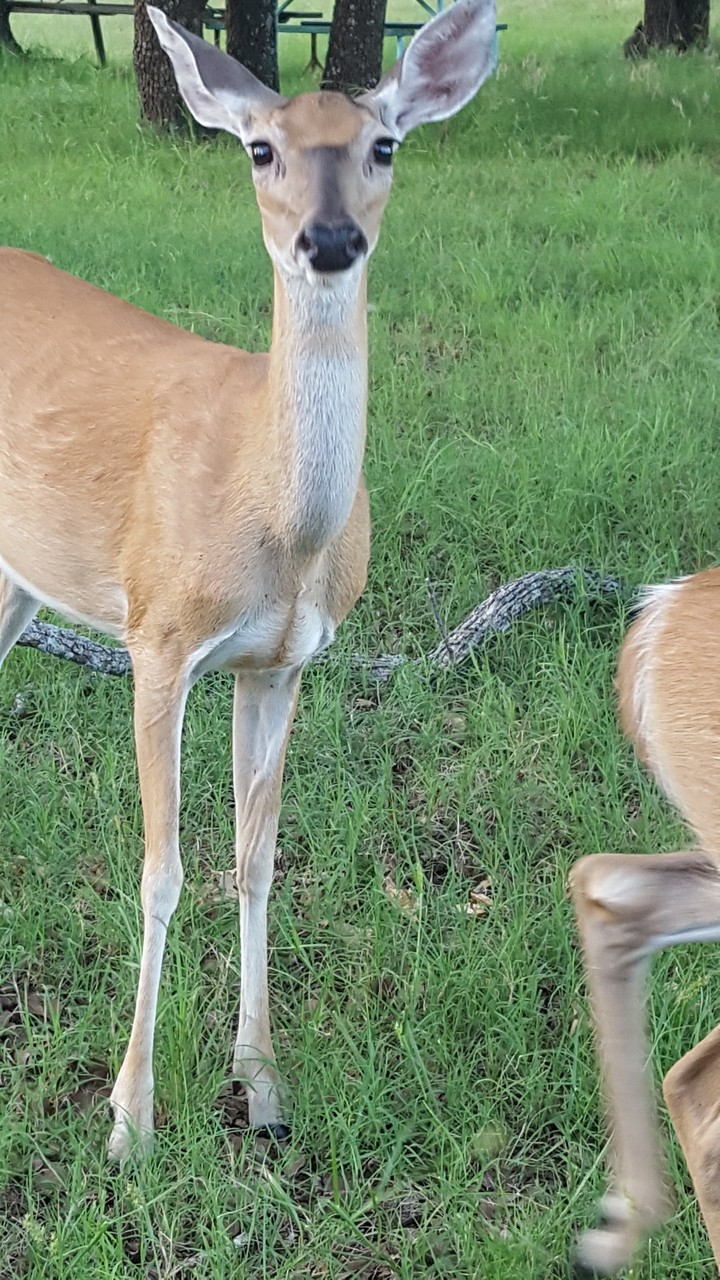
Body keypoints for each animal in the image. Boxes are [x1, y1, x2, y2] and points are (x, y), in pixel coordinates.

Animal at [0, 0, 498, 1161]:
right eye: (260, 148)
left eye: (385, 145)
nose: (329, 239)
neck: (275, 520)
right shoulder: (156, 635)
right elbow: (162, 872)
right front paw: (129, 1119)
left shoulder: (280, 662)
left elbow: (257, 858)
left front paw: (263, 1085)